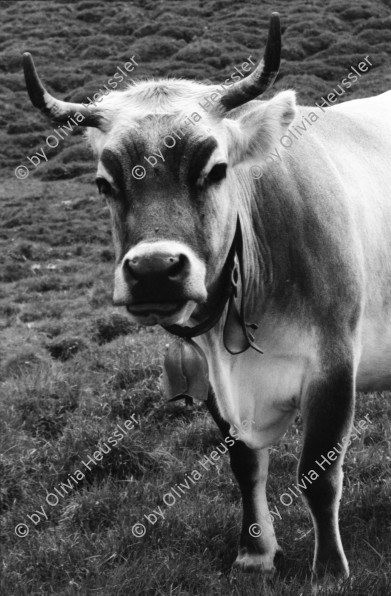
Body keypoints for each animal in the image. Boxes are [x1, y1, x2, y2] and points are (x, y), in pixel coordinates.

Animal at [23, 11, 391, 588]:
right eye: (105, 182)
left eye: (215, 169)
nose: (155, 271)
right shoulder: (213, 377)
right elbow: (244, 465)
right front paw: (255, 552)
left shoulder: (333, 362)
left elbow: (319, 475)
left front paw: (330, 571)